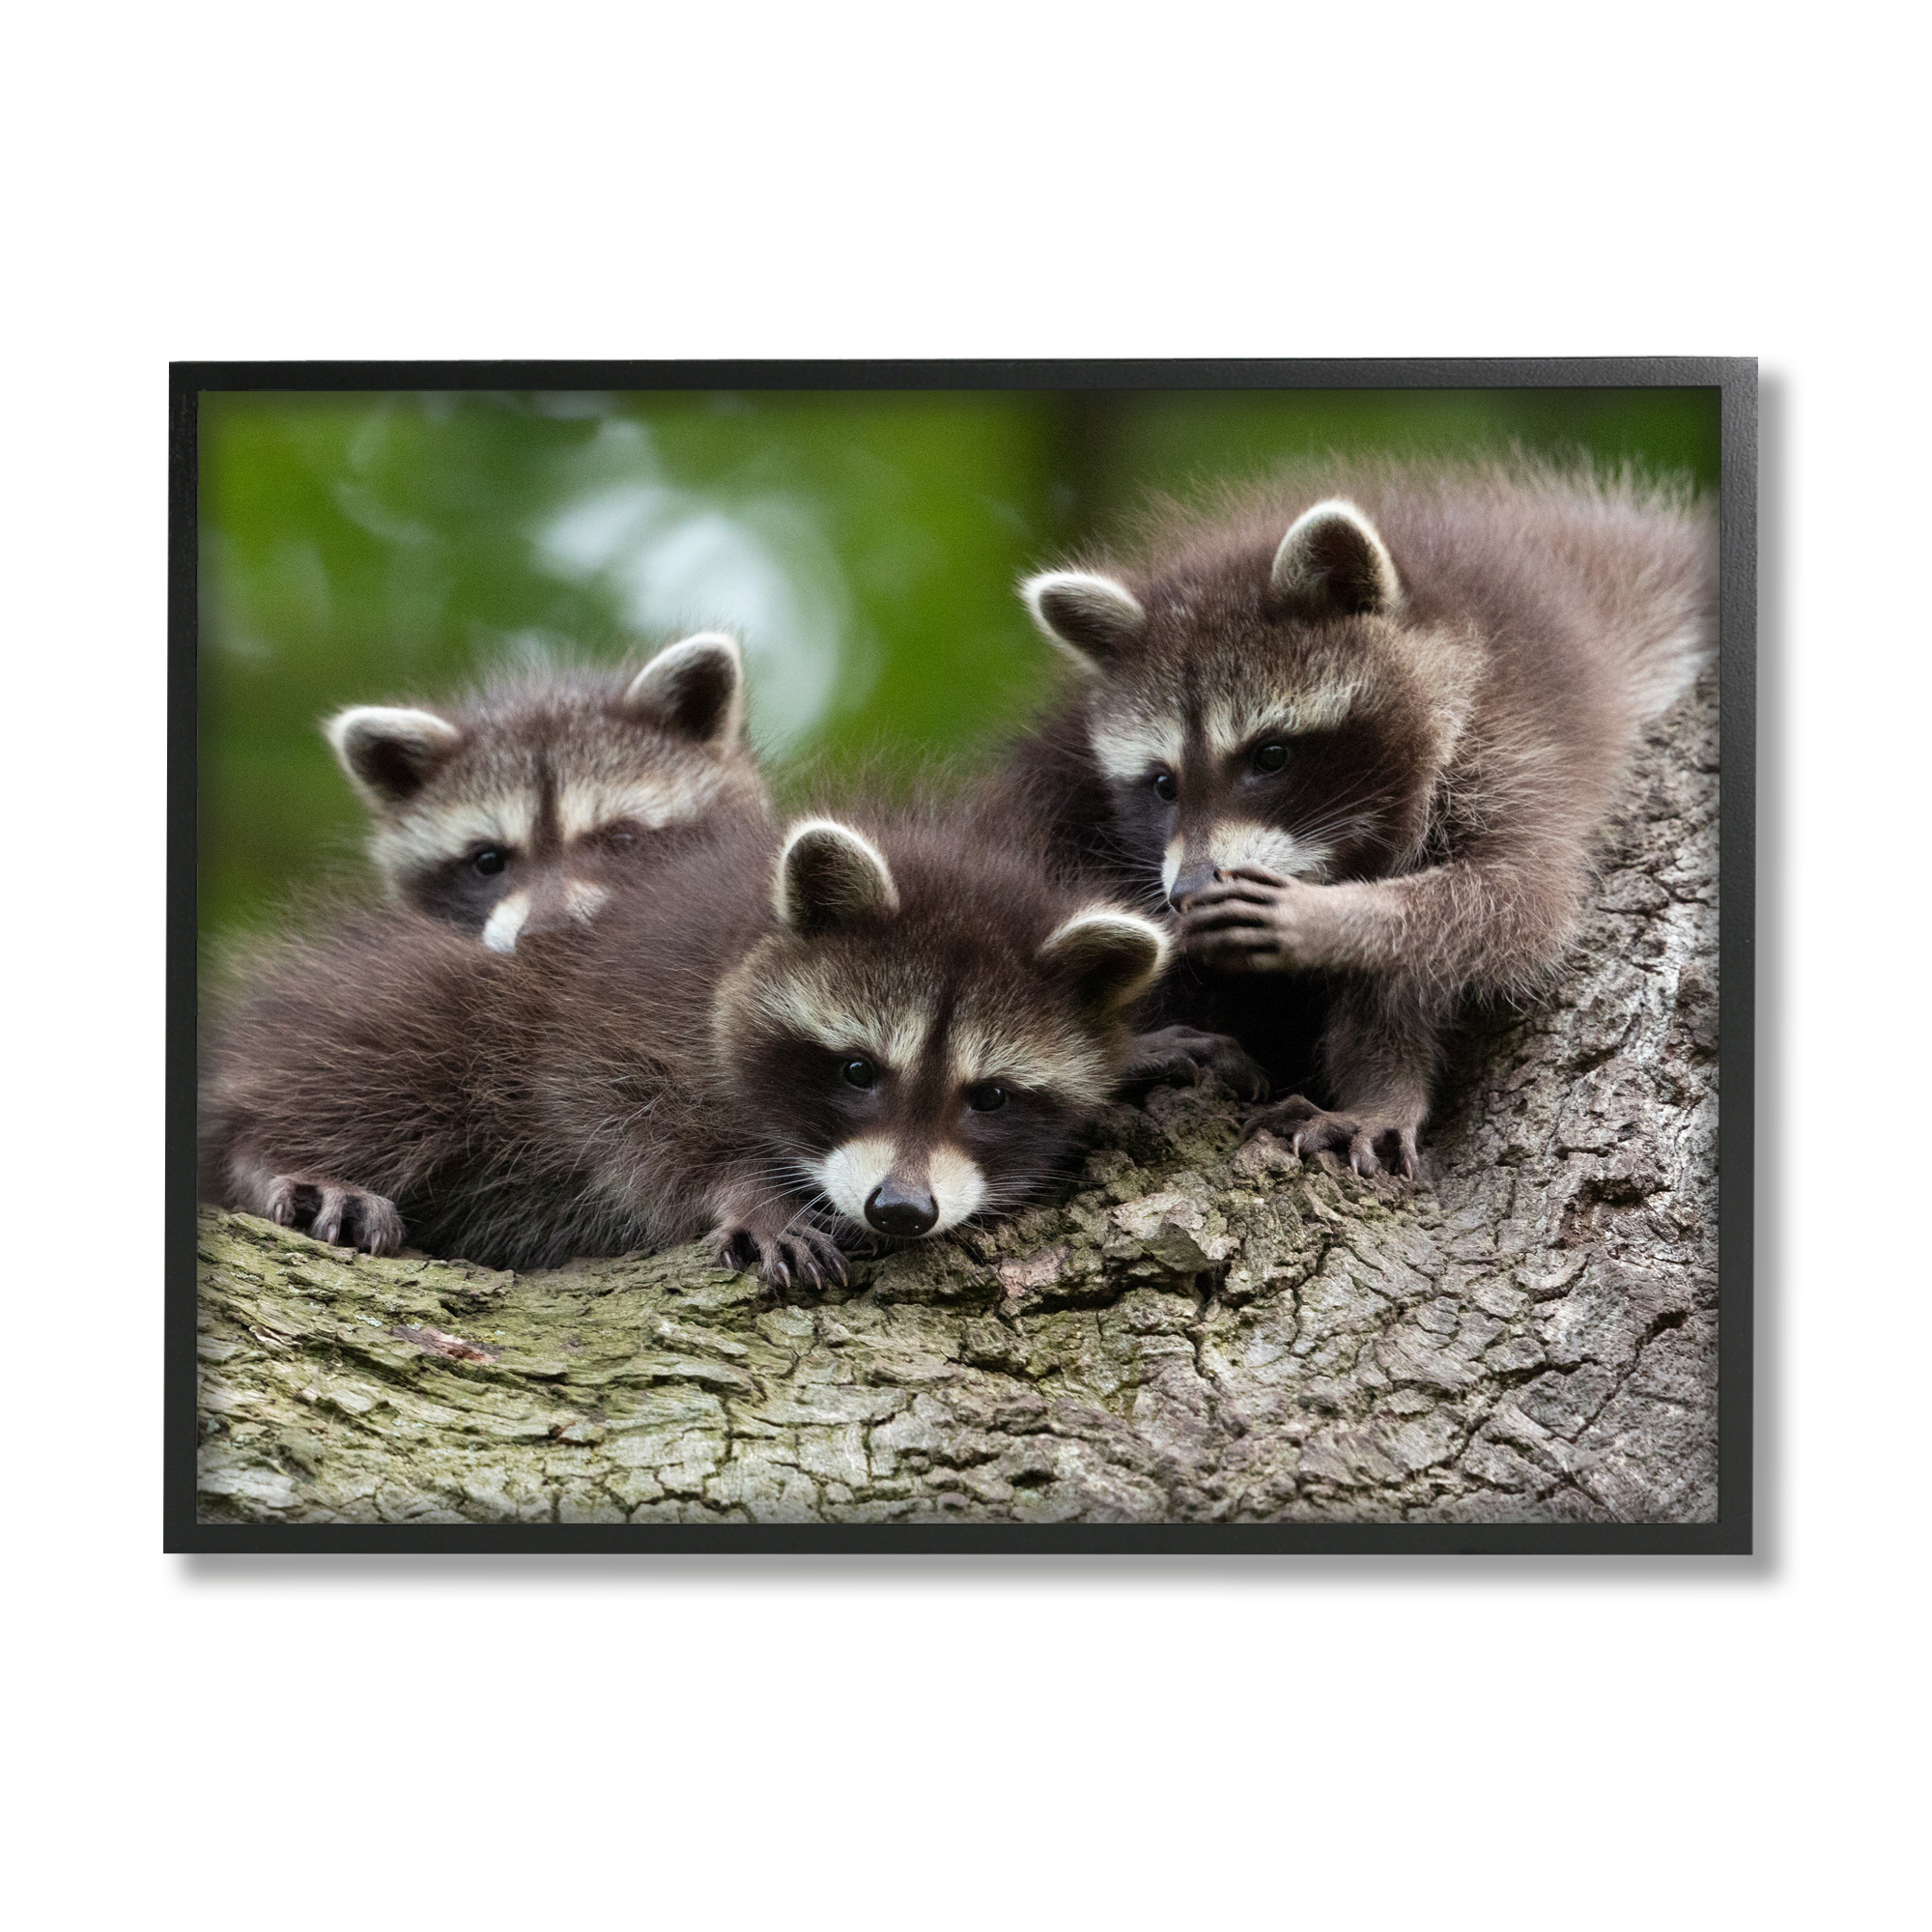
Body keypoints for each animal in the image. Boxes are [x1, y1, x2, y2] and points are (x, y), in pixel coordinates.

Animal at [200, 805, 1169, 1288]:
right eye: (859, 1070)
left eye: (990, 1096)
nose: (900, 1209)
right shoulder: (626, 998)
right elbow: (615, 1107)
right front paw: (745, 1192)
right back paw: (268, 1151)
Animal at [1002, 456, 1717, 1176]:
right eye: (1162, 785)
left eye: (1270, 755)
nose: (1189, 890)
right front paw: (1382, 1084)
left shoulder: (1516, 740)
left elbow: (1514, 902)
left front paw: (1335, 918)